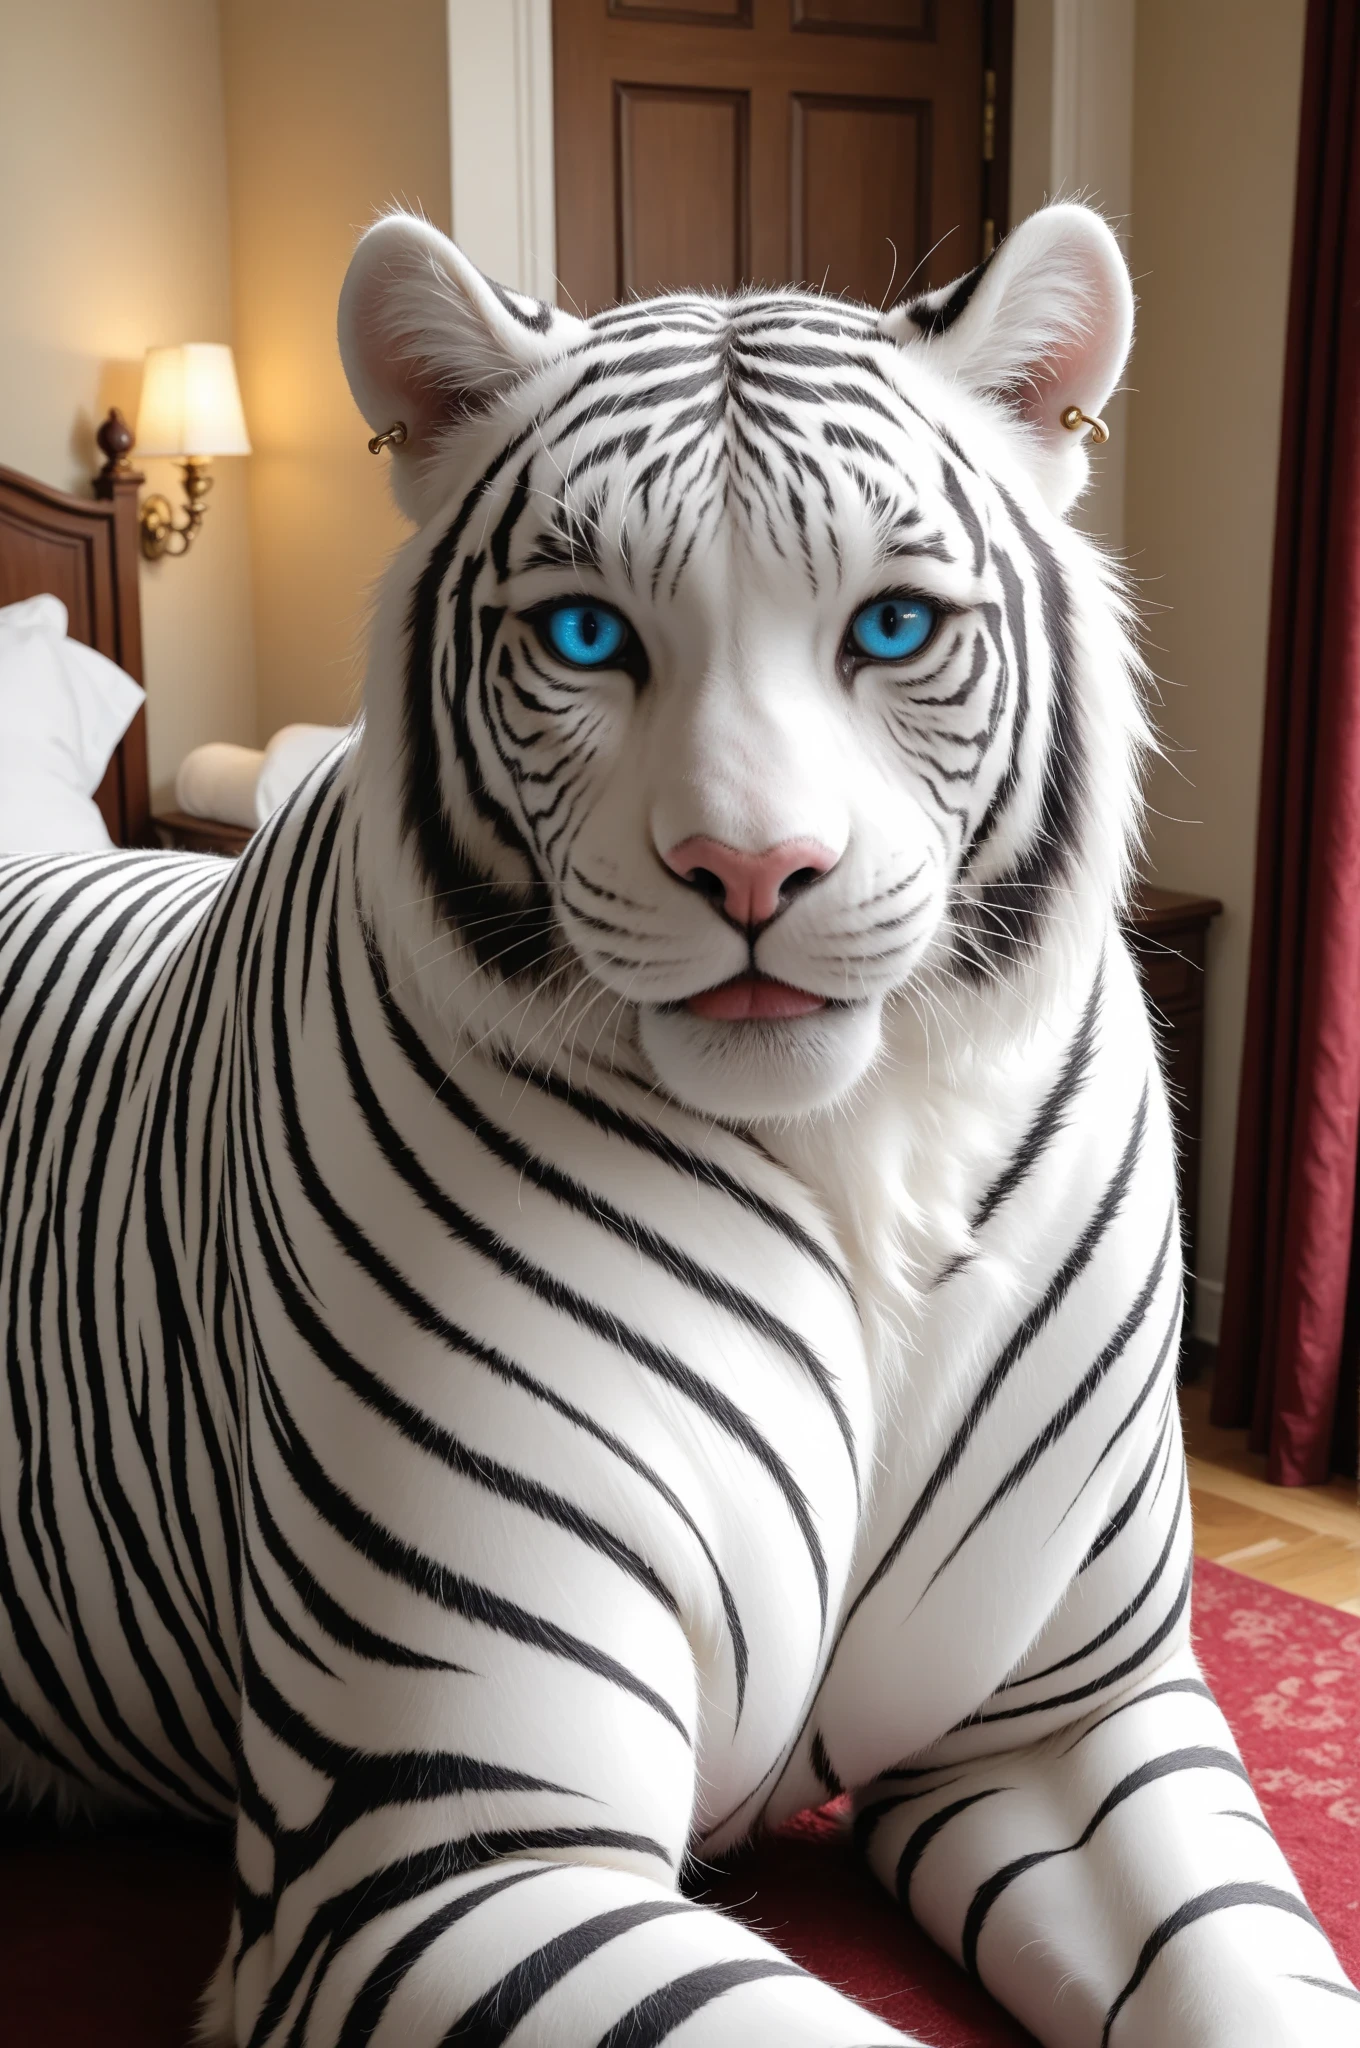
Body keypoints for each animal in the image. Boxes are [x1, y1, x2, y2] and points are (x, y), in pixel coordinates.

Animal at [0, 201, 1354, 2047]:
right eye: (584, 637)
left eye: (893, 627)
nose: (754, 870)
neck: (860, 1159)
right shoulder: (432, 1856)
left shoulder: (1067, 1723)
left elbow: (1255, 1970)